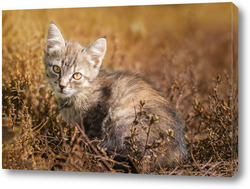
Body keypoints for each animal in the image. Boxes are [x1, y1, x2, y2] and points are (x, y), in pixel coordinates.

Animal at [43, 22, 188, 168]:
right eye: (56, 69)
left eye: (77, 75)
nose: (62, 85)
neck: (80, 93)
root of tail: (178, 153)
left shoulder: (97, 116)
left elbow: (91, 139)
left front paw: (83, 152)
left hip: (121, 119)